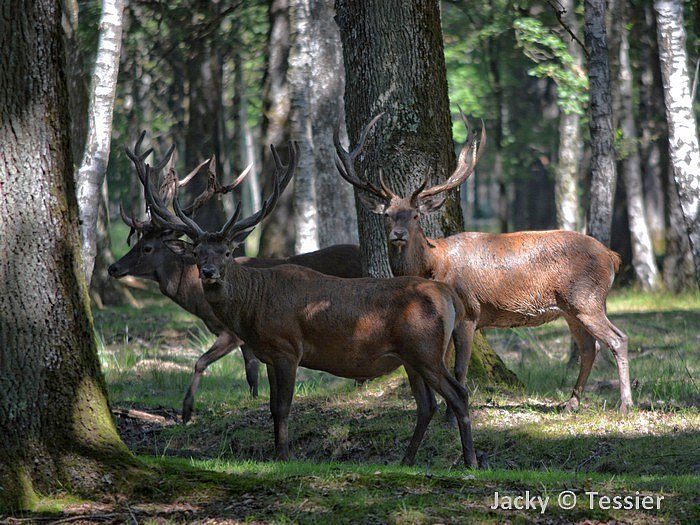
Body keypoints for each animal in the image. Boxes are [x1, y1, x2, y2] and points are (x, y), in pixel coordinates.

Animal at [110, 133, 360, 424]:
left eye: (147, 247)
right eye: (196, 252)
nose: (113, 268)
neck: (197, 301)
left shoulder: (231, 333)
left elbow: (201, 361)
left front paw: (187, 410)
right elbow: (251, 374)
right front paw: (253, 401)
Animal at [144, 140, 478, 466]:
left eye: (226, 252)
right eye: (198, 253)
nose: (209, 273)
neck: (255, 304)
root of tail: (448, 295)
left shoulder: (288, 348)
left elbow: (283, 405)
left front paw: (284, 454)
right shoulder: (268, 354)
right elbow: (271, 405)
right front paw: (276, 452)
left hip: (426, 350)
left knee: (459, 394)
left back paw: (470, 461)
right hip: (411, 357)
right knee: (427, 405)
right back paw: (406, 460)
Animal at [334, 111, 636, 414]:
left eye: (415, 215)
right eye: (388, 215)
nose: (398, 234)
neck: (434, 264)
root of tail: (612, 257)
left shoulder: (469, 312)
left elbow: (459, 370)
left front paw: (450, 414)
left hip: (586, 299)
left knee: (618, 339)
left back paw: (625, 404)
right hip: (571, 308)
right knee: (589, 348)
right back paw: (571, 403)